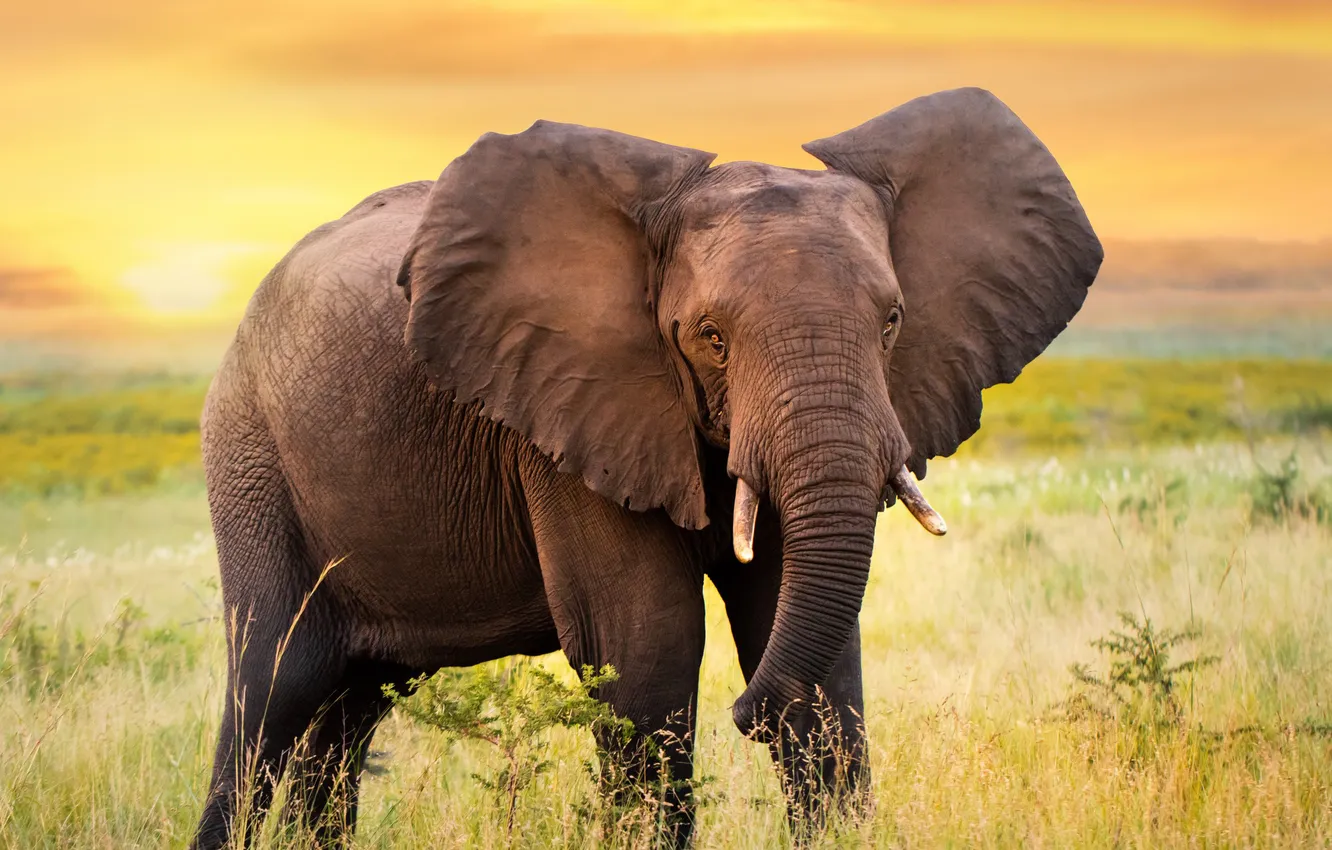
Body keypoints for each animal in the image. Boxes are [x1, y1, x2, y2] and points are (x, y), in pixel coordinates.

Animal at [191, 87, 1101, 848]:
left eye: (892, 321)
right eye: (710, 337)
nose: (746, 715)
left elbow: (808, 642)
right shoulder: (563, 410)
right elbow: (648, 643)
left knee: (349, 707)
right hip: (249, 453)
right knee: (274, 684)